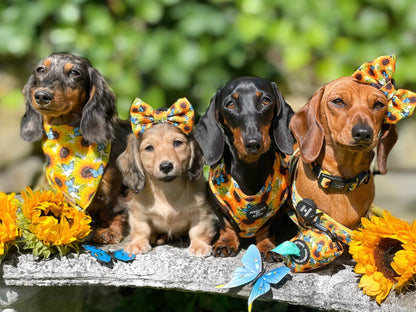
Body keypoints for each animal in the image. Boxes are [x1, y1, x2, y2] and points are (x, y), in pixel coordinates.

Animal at [115, 97, 216, 256]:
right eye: (149, 148)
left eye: (177, 143)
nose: (166, 166)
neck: (167, 190)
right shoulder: (138, 212)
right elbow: (141, 229)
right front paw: (138, 244)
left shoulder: (201, 212)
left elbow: (198, 231)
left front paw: (199, 246)